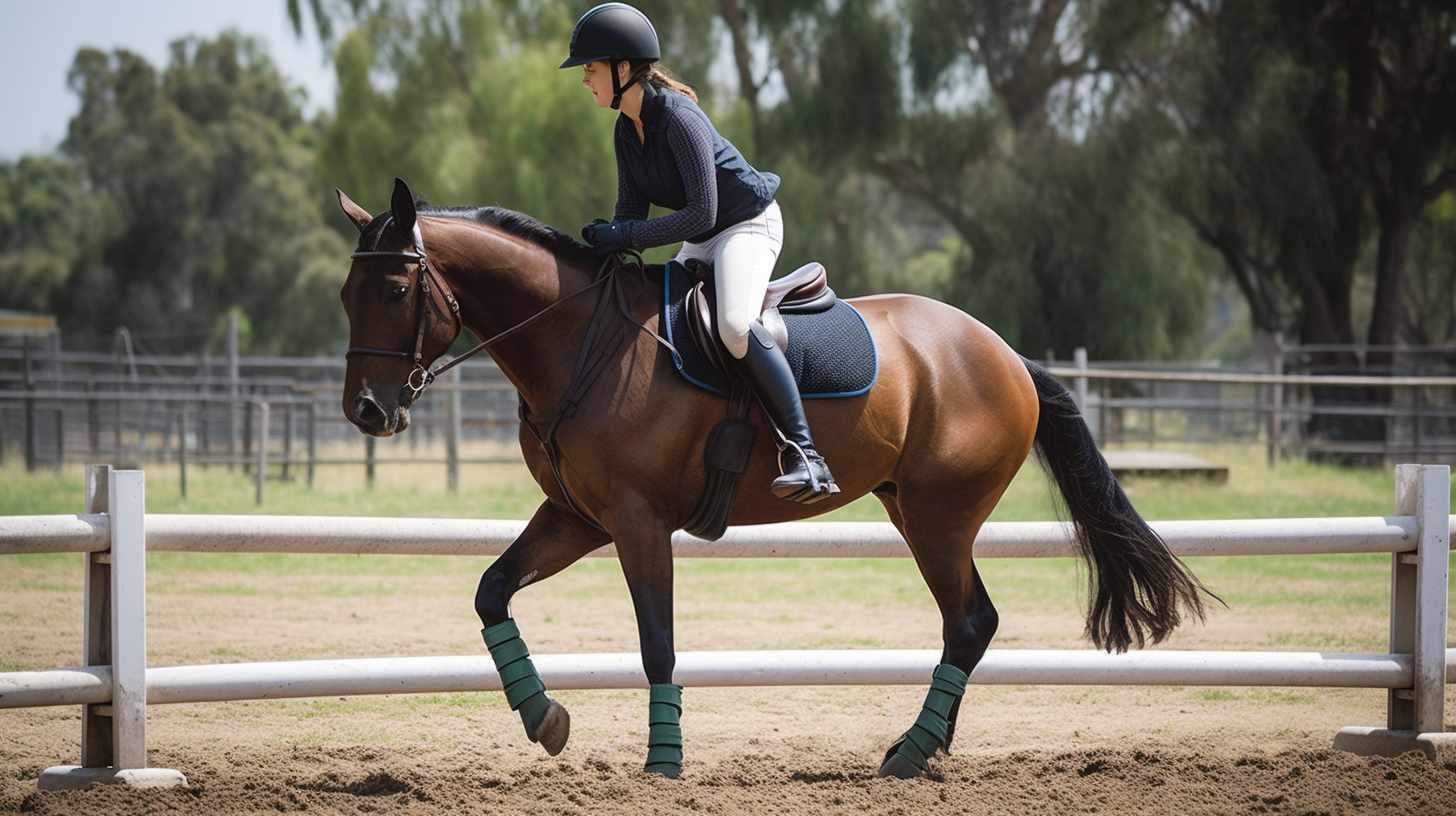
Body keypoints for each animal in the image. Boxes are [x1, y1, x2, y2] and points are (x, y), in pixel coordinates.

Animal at [334, 177, 1211, 775]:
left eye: (395, 288)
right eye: (346, 292)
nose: (367, 412)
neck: (579, 340)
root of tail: (1003, 352)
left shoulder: (638, 521)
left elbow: (658, 643)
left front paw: (663, 763)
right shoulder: (579, 517)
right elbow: (492, 592)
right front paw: (544, 718)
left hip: (939, 517)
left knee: (968, 623)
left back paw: (909, 752)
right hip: (916, 511)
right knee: (972, 622)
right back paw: (923, 751)